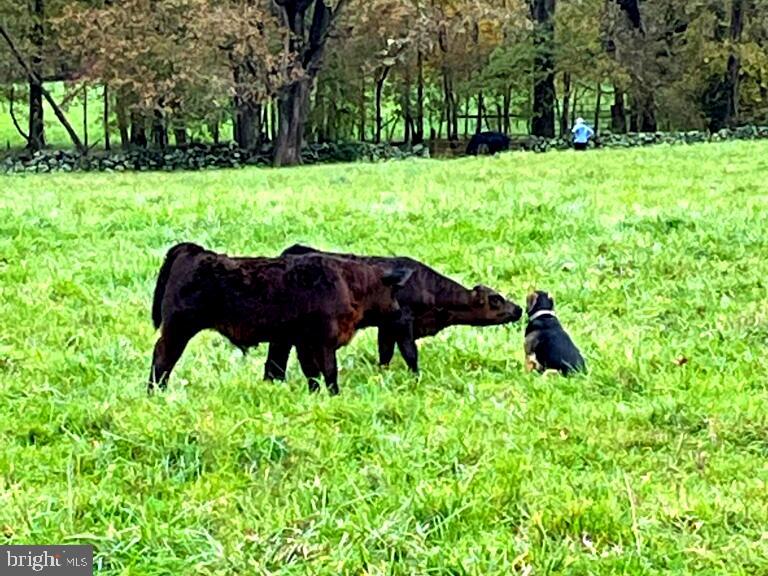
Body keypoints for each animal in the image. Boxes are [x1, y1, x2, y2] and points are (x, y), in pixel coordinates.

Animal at [149, 242, 412, 395]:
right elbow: (329, 371)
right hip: (178, 329)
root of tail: (192, 251)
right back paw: (156, 392)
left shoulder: (303, 342)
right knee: (163, 359)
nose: (398, 311)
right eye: (392, 291)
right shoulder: (323, 341)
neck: (347, 283)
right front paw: (335, 395)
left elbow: (312, 373)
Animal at [263, 244, 523, 380]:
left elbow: (385, 353)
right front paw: (416, 377)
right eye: (496, 300)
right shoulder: (402, 321)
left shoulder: (387, 326)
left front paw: (382, 374)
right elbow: (409, 352)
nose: (519, 309)